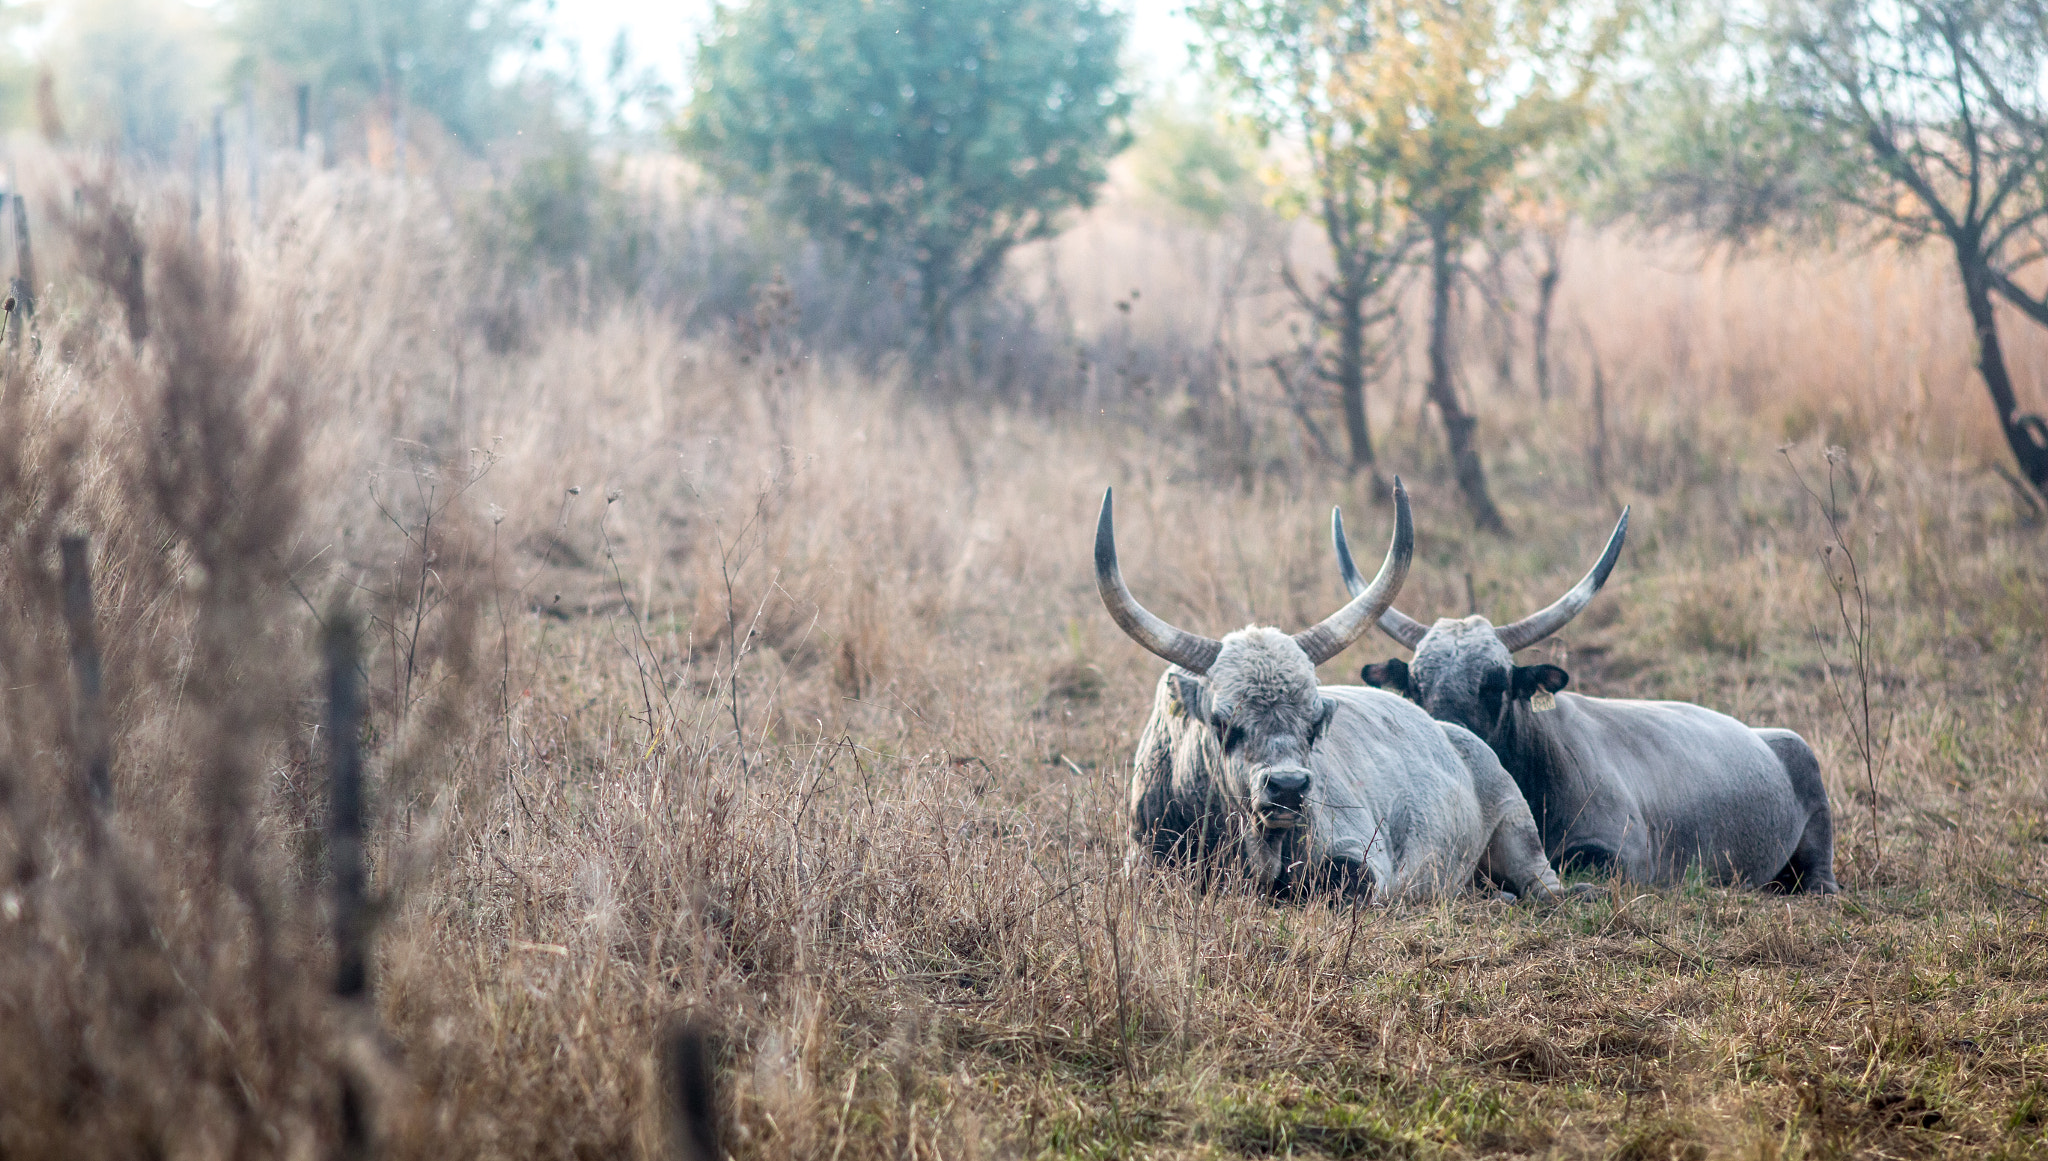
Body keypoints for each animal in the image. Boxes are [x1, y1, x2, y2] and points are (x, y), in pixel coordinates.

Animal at [1105, 481, 1564, 909]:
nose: (1288, 787)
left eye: (1314, 722)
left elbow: (1342, 882)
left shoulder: (1361, 854)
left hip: (1519, 830)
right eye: (1222, 721)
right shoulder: (1140, 860)